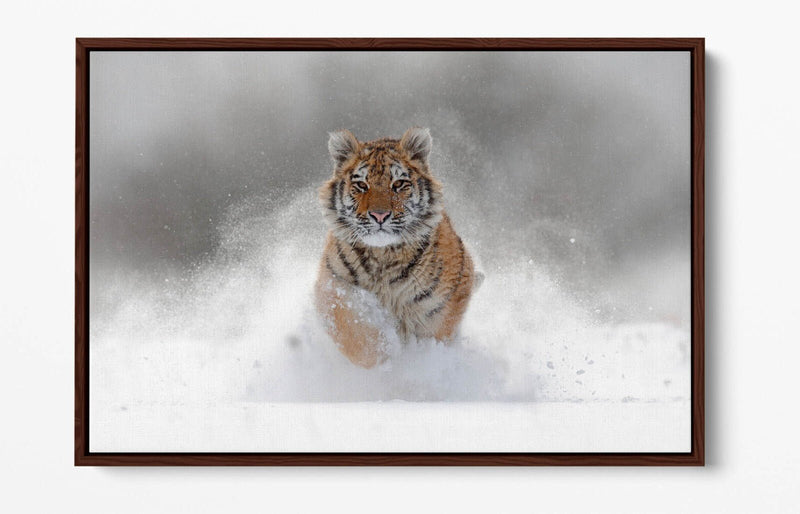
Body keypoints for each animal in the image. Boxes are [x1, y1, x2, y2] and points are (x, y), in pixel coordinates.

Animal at [315, 127, 480, 368]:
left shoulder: (443, 303)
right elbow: (355, 334)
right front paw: (385, 356)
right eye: (361, 185)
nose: (379, 215)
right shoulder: (333, 286)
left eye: (399, 184)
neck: (383, 255)